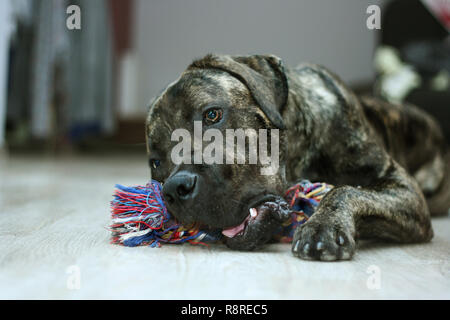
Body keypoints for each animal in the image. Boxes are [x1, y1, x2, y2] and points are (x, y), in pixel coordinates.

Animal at [146, 53, 448, 262]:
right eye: (156, 162)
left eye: (212, 114)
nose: (175, 188)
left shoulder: (404, 188)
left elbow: (346, 190)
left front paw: (323, 227)